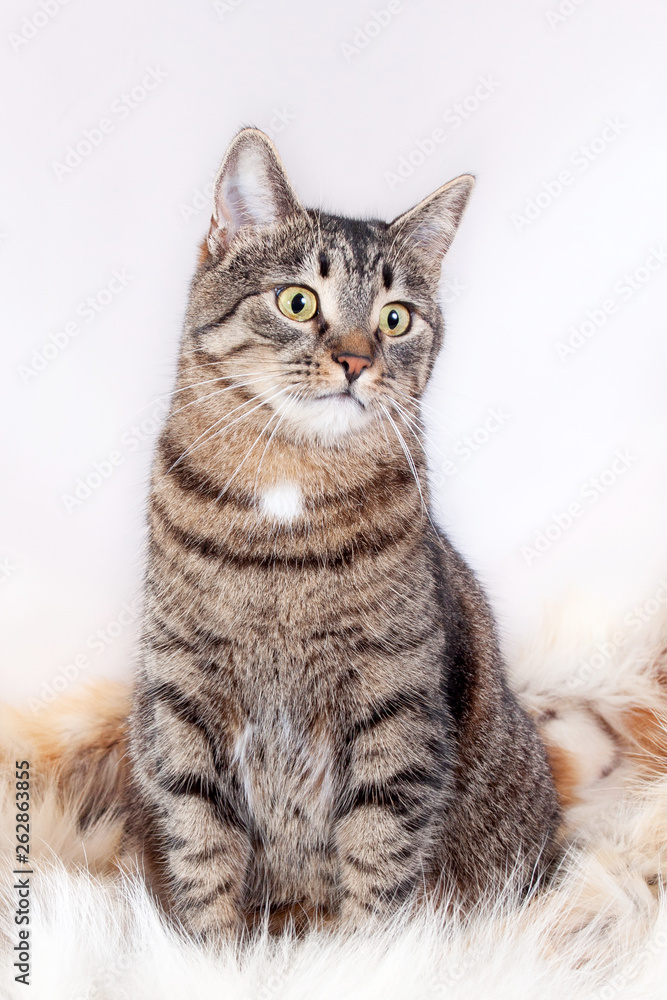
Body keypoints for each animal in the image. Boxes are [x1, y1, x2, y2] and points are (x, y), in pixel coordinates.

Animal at [128, 129, 560, 940]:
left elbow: (379, 856)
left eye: (395, 318)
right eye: (298, 301)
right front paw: (207, 952)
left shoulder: (395, 704)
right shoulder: (181, 692)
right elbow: (201, 845)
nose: (357, 360)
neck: (288, 489)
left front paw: (363, 955)